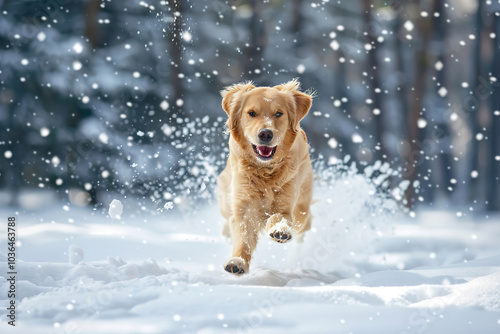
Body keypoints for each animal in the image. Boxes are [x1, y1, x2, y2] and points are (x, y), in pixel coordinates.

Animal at [218, 79, 314, 276]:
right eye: (251, 113)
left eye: (278, 113)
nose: (265, 133)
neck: (266, 171)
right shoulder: (244, 205)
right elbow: (242, 237)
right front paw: (237, 262)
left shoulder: (286, 205)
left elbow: (279, 217)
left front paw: (280, 231)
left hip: (302, 209)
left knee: (303, 224)